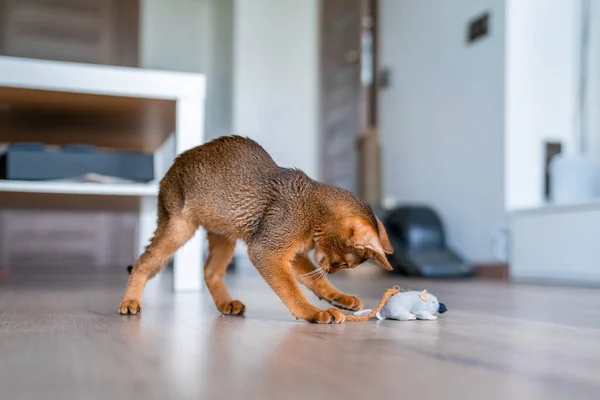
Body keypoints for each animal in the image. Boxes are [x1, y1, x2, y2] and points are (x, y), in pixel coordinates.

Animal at [119, 136, 396, 324]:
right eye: (345, 264)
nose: (332, 270)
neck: (313, 205)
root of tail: (176, 161)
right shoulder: (267, 249)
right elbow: (292, 290)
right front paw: (313, 313)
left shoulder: (292, 253)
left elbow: (313, 280)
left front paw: (338, 297)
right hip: (178, 226)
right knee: (143, 261)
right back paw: (130, 302)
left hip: (225, 234)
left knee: (209, 270)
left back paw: (226, 303)